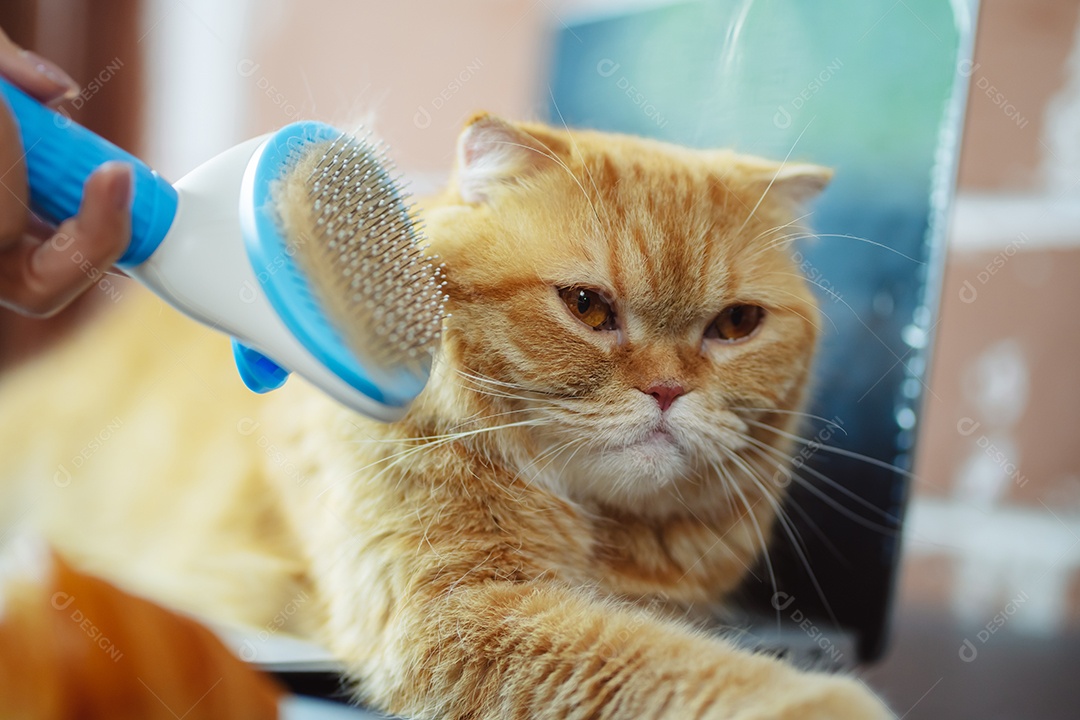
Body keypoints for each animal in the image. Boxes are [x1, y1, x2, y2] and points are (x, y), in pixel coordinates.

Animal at [0, 115, 889, 716]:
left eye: (736, 325)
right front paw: (827, 701)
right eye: (586, 306)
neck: (596, 530)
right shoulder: (459, 612)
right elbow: (671, 664)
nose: (668, 391)